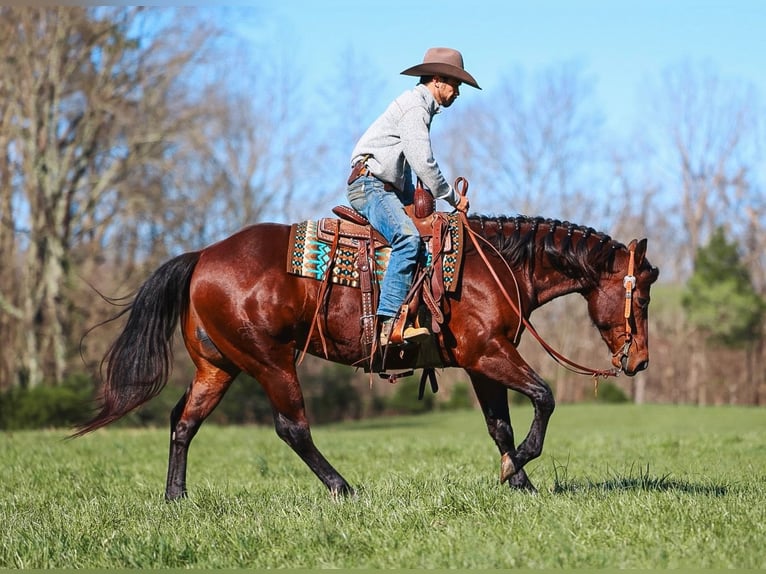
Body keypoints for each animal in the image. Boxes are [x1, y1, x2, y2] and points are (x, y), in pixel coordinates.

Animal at [74, 213, 659, 498]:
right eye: (642, 295)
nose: (640, 363)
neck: (494, 265)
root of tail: (202, 257)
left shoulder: (482, 363)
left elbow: (501, 427)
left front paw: (518, 481)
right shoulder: (489, 354)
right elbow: (543, 397)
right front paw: (524, 466)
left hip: (218, 367)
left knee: (184, 422)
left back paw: (176, 498)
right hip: (270, 362)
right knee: (292, 428)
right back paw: (343, 487)